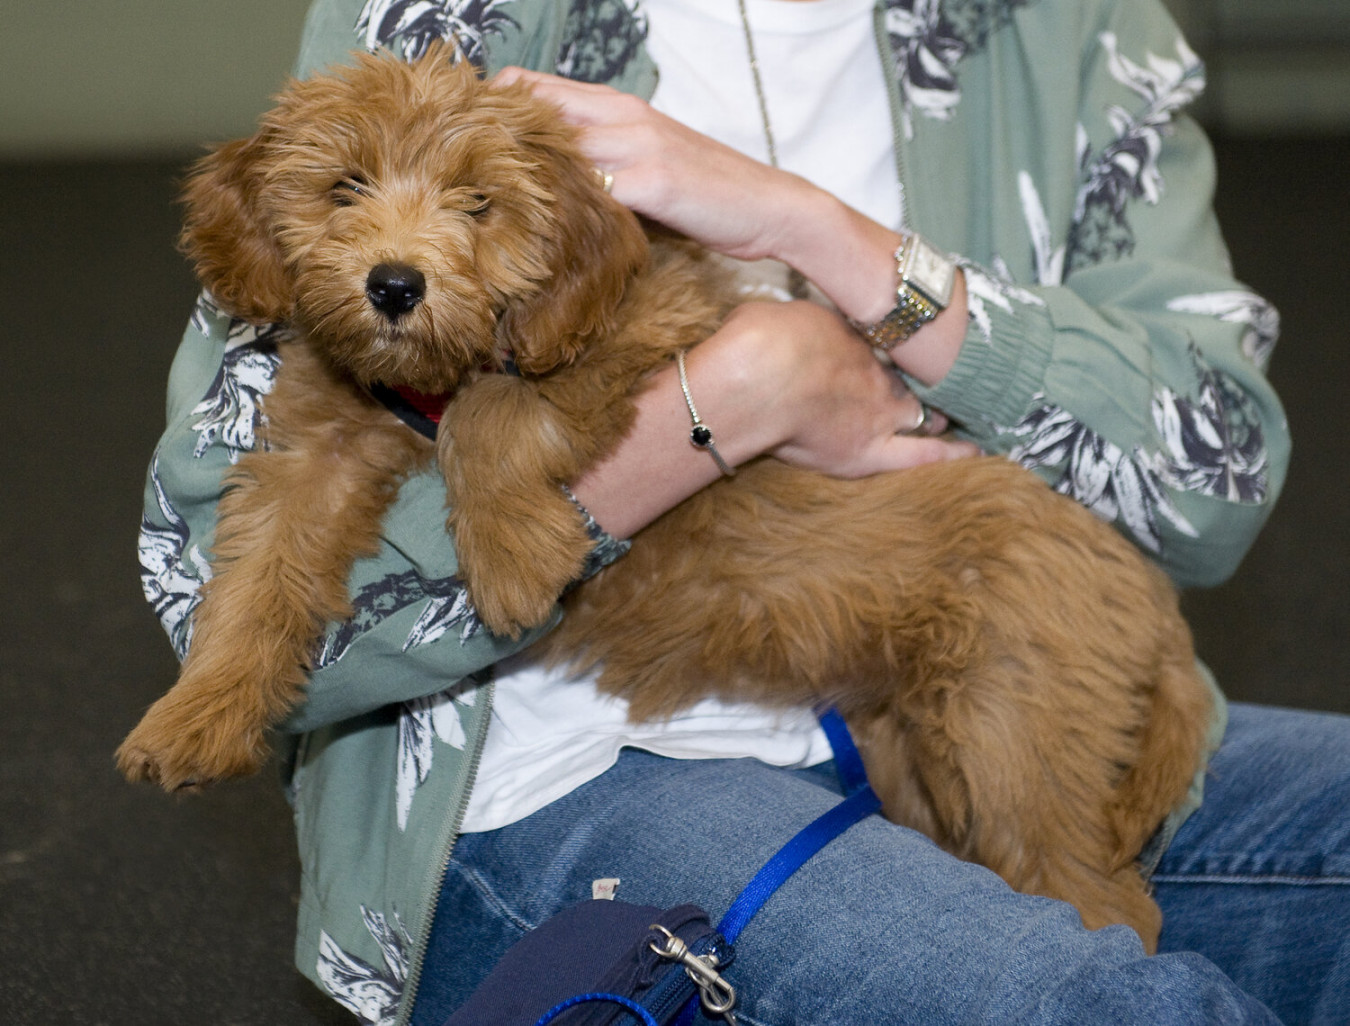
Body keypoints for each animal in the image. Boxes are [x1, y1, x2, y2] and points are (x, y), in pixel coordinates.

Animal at [118, 44, 1215, 950]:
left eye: (479, 203)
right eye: (343, 186)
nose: (393, 284)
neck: (420, 384)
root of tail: (1156, 609)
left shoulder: (651, 323)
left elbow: (499, 408)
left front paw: (511, 559)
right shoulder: (311, 456)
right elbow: (254, 578)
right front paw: (195, 717)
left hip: (1012, 746)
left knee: (1115, 906)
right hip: (932, 753)